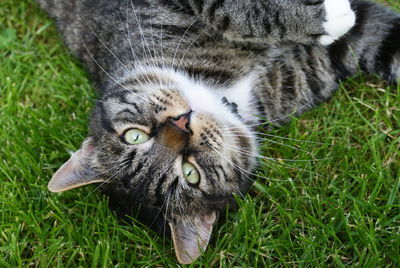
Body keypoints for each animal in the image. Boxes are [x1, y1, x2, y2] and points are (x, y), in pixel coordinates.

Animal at [36, 0, 398, 264]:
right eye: (190, 173)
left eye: (134, 135)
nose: (181, 124)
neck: (227, 92)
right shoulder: (311, 65)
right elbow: (231, 11)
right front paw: (331, 18)